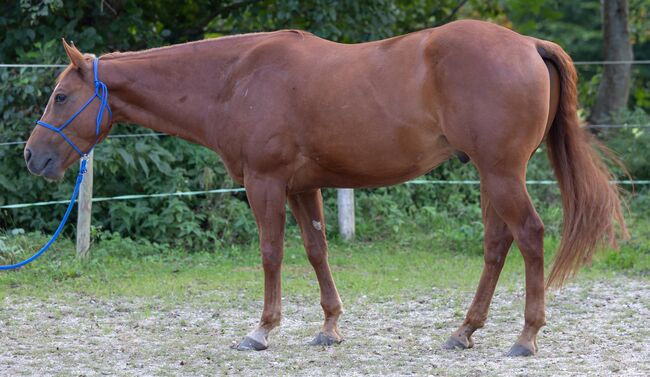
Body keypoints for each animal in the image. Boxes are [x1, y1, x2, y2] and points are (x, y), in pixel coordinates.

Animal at [24, 19, 624, 356]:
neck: (235, 79)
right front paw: (330, 328)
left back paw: (525, 338)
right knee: (498, 245)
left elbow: (271, 253)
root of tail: (527, 45)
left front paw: (262, 330)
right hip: (489, 174)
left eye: (59, 96)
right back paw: (464, 331)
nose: (32, 155)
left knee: (530, 236)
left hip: (501, 173)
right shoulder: (302, 187)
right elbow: (316, 249)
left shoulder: (265, 184)